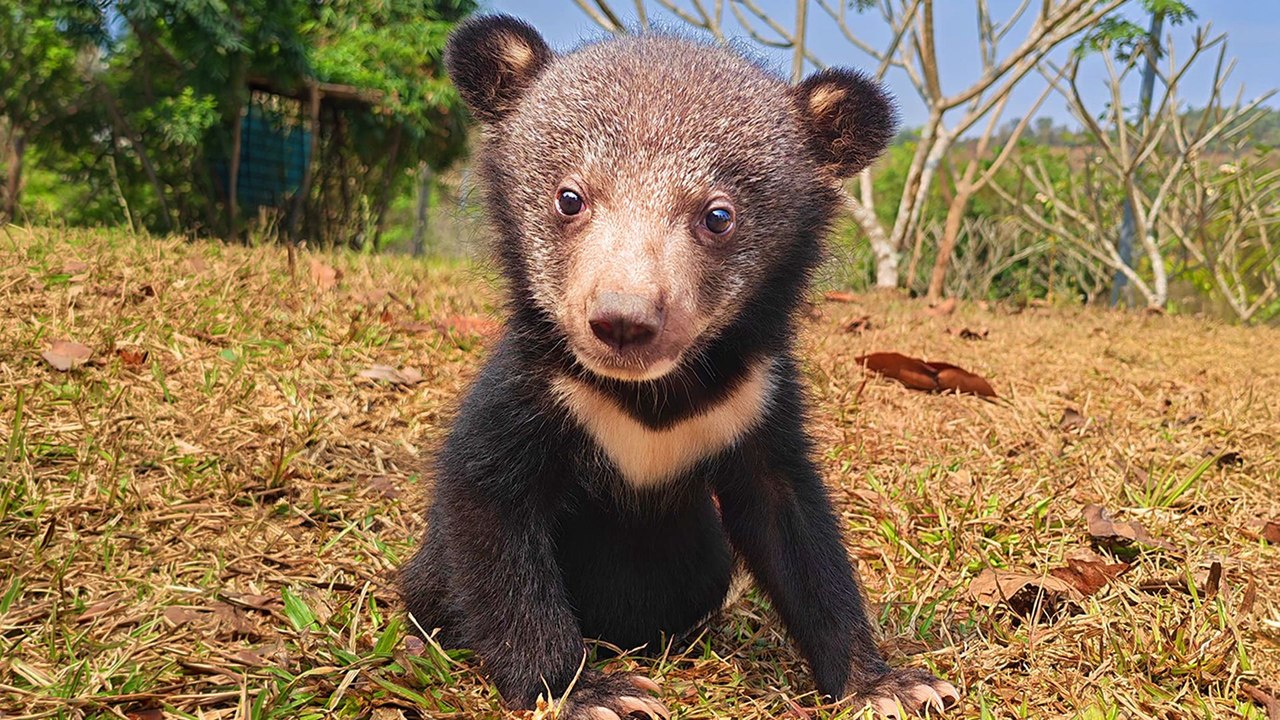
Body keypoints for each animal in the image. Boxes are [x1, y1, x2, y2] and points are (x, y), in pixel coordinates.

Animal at [398, 14, 960, 720]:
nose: (622, 321)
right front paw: (589, 693)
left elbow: (793, 525)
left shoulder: (756, 398)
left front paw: (888, 684)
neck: (653, 393)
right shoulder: (535, 386)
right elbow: (487, 501)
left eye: (718, 216)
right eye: (569, 198)